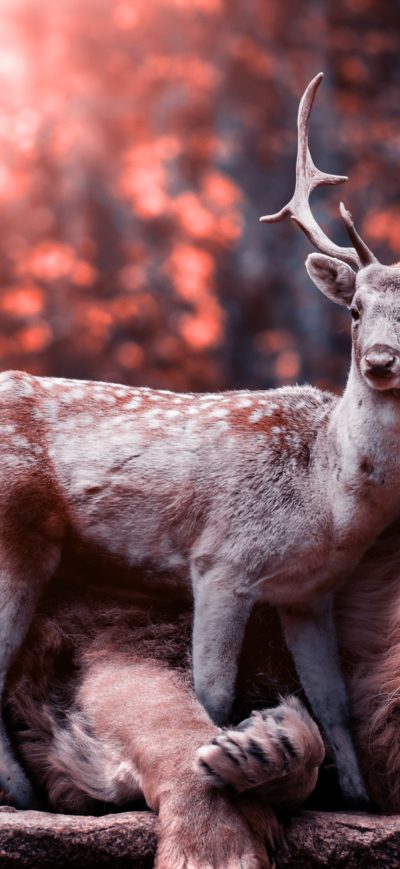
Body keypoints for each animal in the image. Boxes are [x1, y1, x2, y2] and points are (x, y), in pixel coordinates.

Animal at [0, 71, 398, 813]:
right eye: (356, 310)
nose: (382, 362)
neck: (327, 496)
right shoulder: (222, 559)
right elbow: (212, 693)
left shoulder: (310, 590)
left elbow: (334, 703)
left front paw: (357, 798)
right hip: (18, 538)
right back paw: (24, 793)